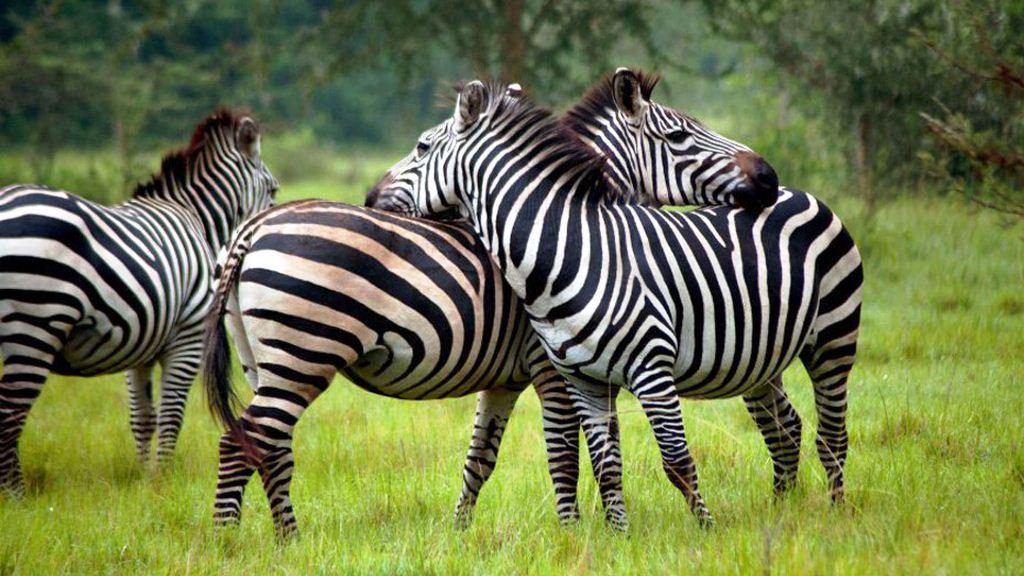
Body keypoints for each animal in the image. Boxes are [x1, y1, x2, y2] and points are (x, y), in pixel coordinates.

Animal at [0, 109, 278, 496]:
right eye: (274, 189)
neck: (196, 218)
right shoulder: (187, 337)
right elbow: (172, 415)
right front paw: (164, 478)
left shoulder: (142, 341)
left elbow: (143, 418)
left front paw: (147, 479)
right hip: (35, 325)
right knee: (9, 416)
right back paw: (16, 496)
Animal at [202, 80, 778, 538]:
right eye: (681, 136)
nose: (769, 178)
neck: (569, 230)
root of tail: (254, 226)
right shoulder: (553, 368)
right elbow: (568, 453)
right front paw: (573, 533)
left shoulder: (508, 379)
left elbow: (482, 459)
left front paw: (461, 533)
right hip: (304, 350)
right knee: (241, 443)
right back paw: (228, 542)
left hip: (266, 360)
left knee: (271, 447)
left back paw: (288, 539)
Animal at [375, 78, 862, 529]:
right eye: (679, 135)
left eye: (421, 147)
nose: (767, 177)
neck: (570, 246)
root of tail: (803, 194)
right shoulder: (570, 376)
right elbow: (589, 460)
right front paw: (605, 534)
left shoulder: (618, 370)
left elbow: (617, 458)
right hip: (761, 359)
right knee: (786, 427)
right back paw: (784, 510)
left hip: (832, 339)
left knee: (830, 433)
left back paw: (832, 512)